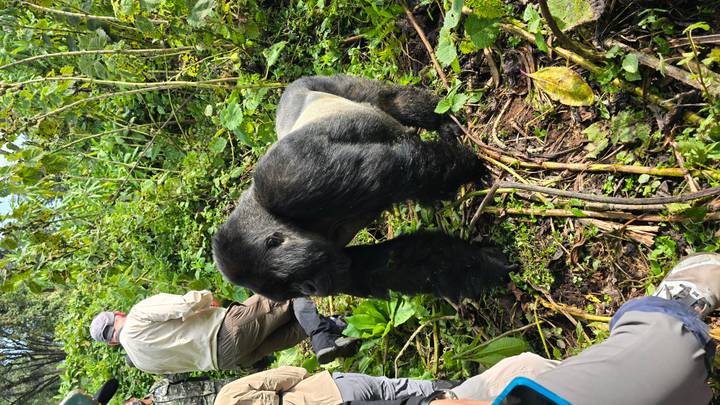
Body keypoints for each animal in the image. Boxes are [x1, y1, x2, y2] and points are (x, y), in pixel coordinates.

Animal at [212, 75, 511, 301]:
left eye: (295, 282)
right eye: (294, 293)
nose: (314, 290)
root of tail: (289, 86)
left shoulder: (287, 178)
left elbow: (402, 172)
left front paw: (469, 166)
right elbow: (385, 267)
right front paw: (480, 266)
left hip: (331, 84)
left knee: (392, 99)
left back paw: (441, 119)